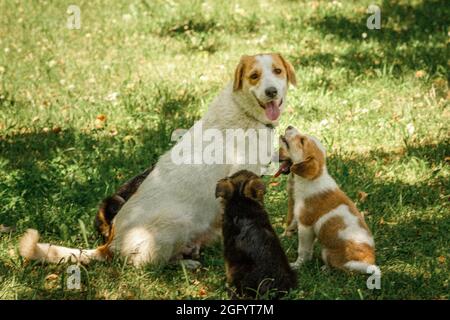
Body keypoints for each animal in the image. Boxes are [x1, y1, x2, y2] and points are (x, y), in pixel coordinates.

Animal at [19, 52, 298, 268]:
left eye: (277, 71)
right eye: (254, 76)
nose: (271, 91)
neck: (244, 113)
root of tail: (109, 243)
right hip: (176, 221)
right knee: (151, 266)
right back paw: (186, 262)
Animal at [278, 126, 380, 274]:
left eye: (302, 141)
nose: (289, 126)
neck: (313, 178)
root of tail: (369, 263)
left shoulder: (305, 225)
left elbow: (303, 250)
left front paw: (297, 265)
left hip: (328, 253)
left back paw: (325, 270)